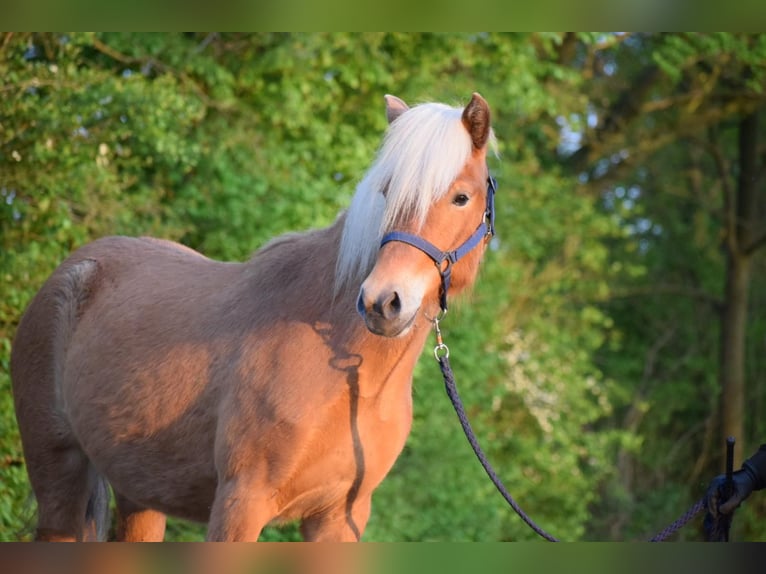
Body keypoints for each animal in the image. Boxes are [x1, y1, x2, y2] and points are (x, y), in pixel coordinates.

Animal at [10, 92, 498, 544]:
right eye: (386, 191)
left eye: (461, 197)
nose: (383, 301)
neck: (347, 374)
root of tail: (73, 270)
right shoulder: (240, 503)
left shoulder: (338, 519)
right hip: (58, 475)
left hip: (139, 493)